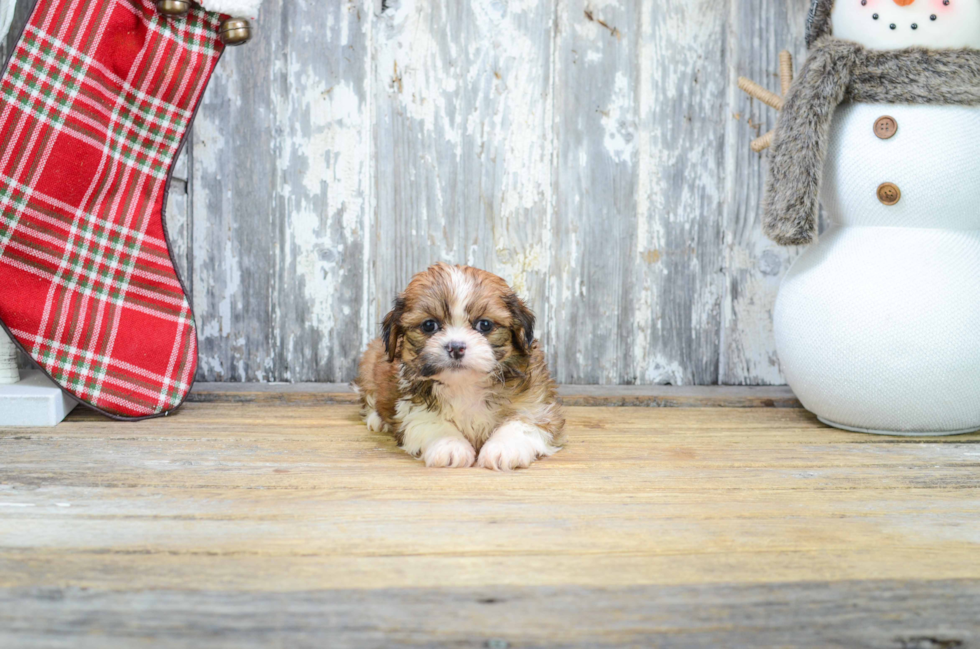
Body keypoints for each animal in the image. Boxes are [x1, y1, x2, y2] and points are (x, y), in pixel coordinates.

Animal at [356, 264, 564, 470]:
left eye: (485, 324)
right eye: (429, 325)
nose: (456, 347)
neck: (465, 385)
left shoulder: (537, 405)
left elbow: (522, 422)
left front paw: (503, 447)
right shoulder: (412, 407)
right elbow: (432, 422)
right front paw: (450, 445)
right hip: (369, 363)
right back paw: (376, 420)